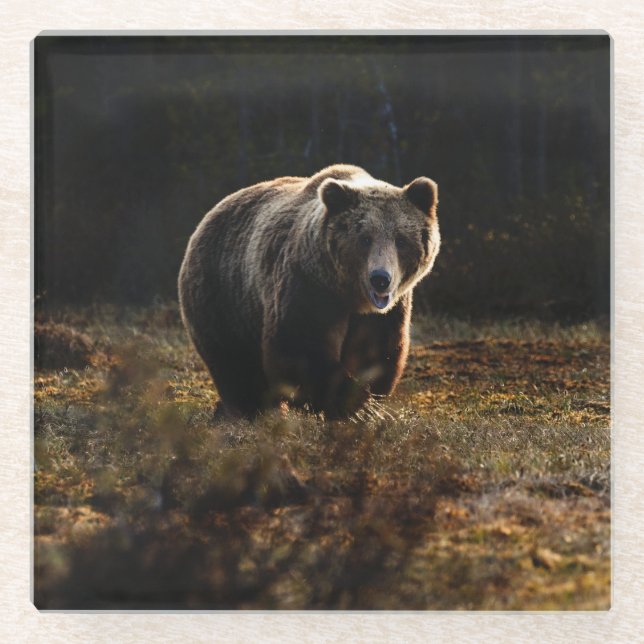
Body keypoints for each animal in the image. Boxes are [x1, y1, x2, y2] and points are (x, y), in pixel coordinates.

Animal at [178, 164, 440, 419]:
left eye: (401, 240)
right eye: (365, 239)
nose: (380, 279)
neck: (350, 295)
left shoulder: (385, 312)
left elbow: (376, 351)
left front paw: (366, 401)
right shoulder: (308, 286)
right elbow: (299, 347)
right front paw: (353, 404)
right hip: (223, 295)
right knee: (235, 363)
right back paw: (250, 410)